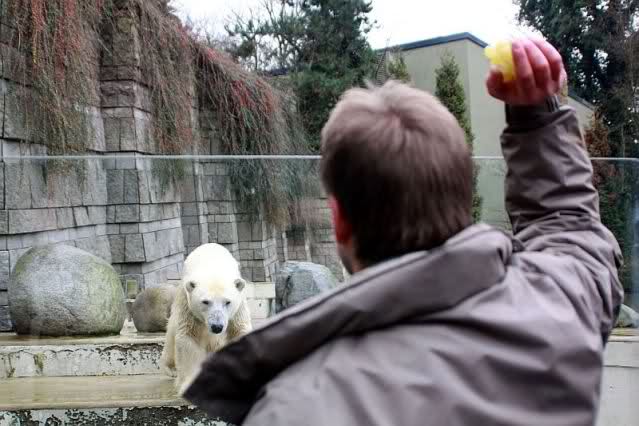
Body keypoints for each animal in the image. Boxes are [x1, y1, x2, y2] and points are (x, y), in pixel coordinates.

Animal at [160, 243, 253, 391]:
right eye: (205, 302)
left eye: (227, 302)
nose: (217, 327)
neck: (211, 266)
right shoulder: (188, 306)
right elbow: (189, 337)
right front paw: (190, 384)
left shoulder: (238, 308)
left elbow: (239, 331)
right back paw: (171, 369)